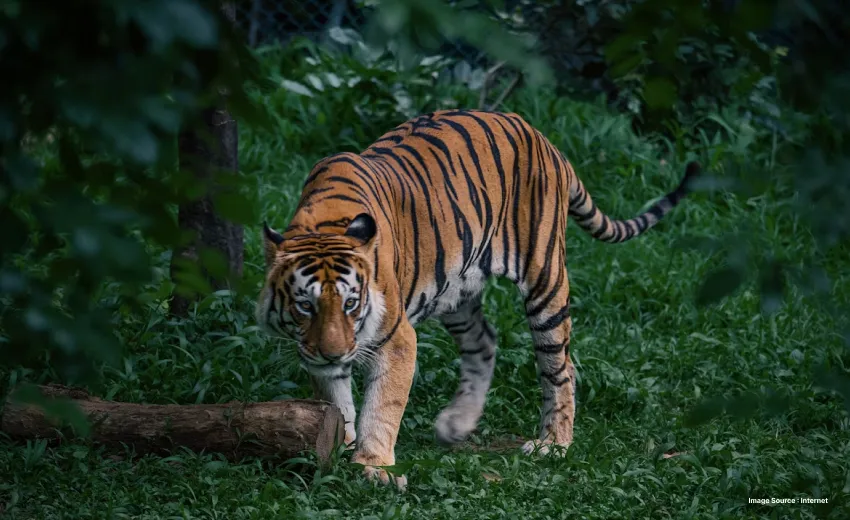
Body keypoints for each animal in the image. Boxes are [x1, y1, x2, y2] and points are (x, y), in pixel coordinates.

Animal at [256, 109, 698, 489]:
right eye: (305, 306)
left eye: (350, 304)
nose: (334, 353)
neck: (324, 224)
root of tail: (541, 136)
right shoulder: (317, 351)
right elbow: (337, 399)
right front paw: (343, 445)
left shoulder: (396, 338)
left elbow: (382, 407)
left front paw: (373, 466)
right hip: (457, 292)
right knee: (484, 343)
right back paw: (458, 424)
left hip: (545, 277)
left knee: (561, 367)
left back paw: (554, 444)